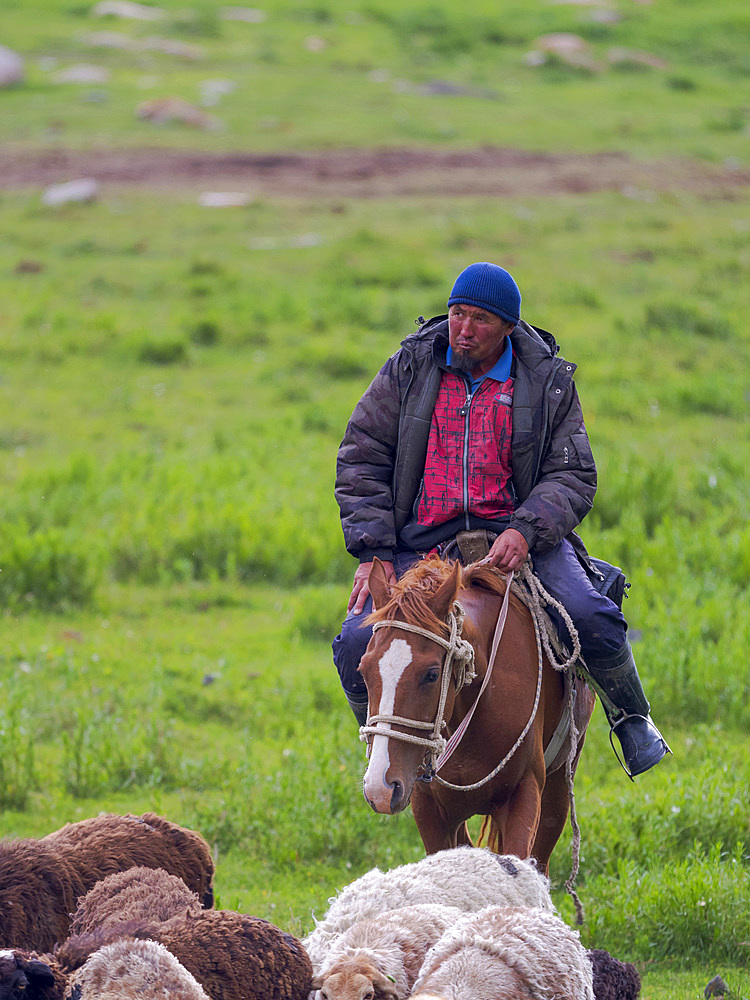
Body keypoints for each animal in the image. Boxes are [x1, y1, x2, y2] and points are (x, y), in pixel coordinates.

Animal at [362, 552, 596, 872]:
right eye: (363, 670)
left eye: (432, 674)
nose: (380, 788)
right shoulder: (429, 808)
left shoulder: (523, 795)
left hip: (561, 780)